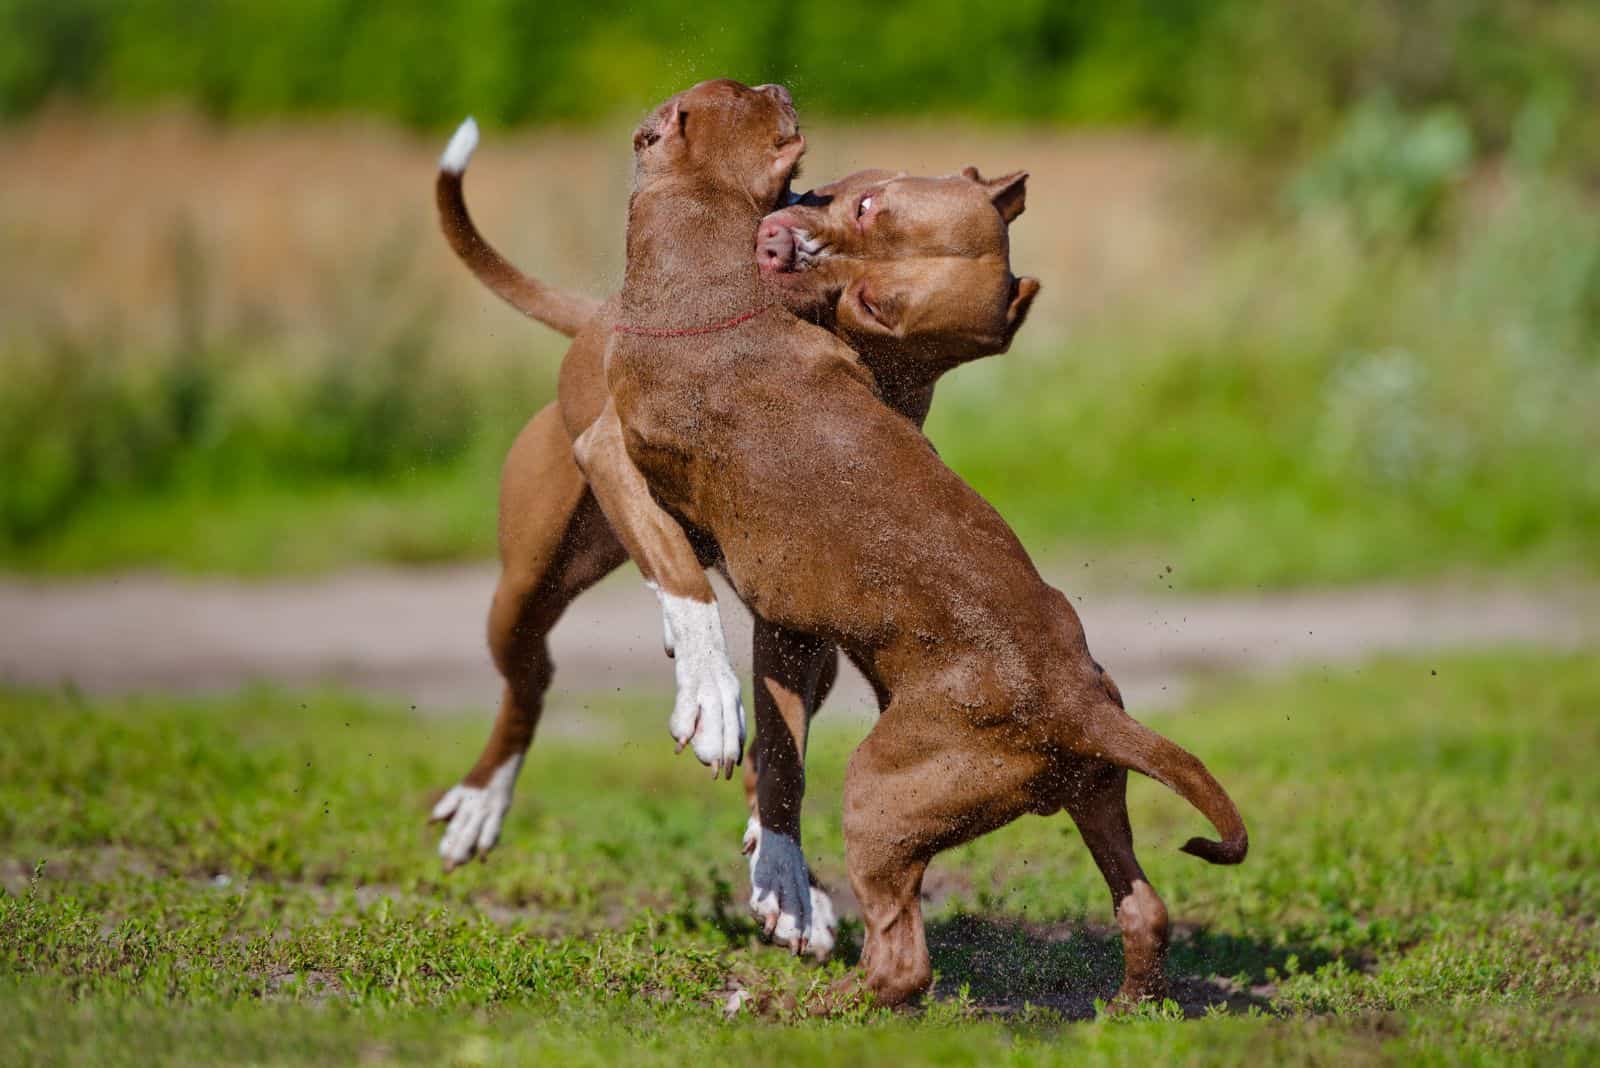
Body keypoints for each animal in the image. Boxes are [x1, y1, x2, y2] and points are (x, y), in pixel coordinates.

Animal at [579, 79, 1248, 1004]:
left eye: (876, 306)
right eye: (865, 205)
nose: (782, 245)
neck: (714, 288)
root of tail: (1077, 707)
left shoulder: (624, 460)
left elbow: (683, 581)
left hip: (881, 794)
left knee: (902, 958)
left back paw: (819, 999)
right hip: (1094, 795)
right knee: (1143, 908)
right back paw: (1129, 1004)